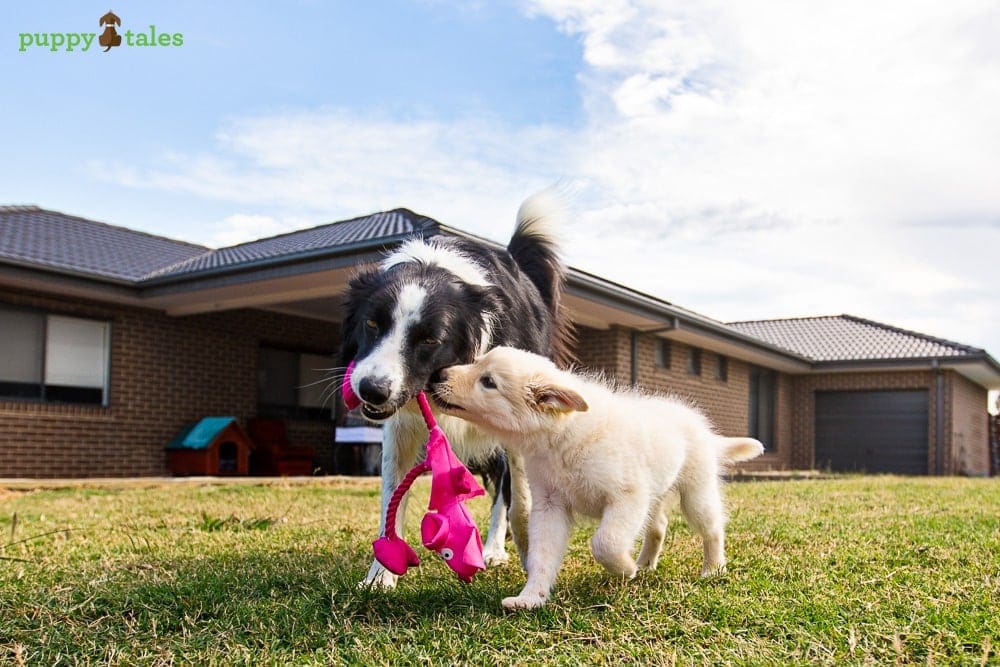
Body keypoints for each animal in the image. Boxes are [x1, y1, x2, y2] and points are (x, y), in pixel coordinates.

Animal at [434, 348, 760, 612]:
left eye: (488, 382)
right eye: (476, 361)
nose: (438, 374)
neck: (561, 437)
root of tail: (704, 430)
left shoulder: (627, 497)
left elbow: (605, 542)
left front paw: (624, 569)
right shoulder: (550, 505)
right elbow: (542, 555)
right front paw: (531, 597)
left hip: (695, 491)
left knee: (713, 527)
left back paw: (712, 567)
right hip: (655, 494)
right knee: (659, 526)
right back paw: (645, 563)